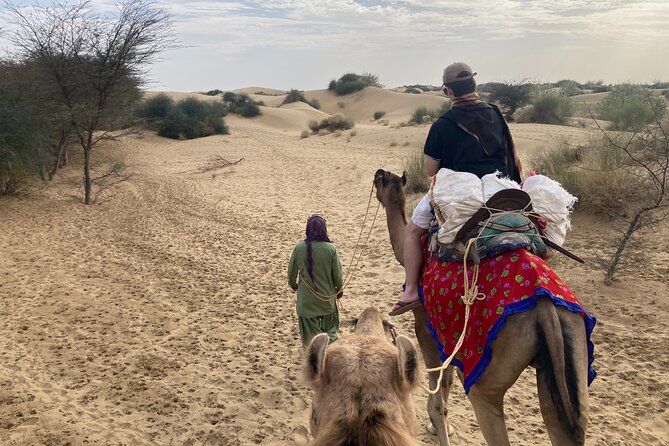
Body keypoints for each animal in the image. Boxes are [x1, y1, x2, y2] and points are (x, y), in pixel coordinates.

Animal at [373, 168, 592, 446]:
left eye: (381, 181)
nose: (377, 173)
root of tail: (546, 308)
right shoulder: (448, 332)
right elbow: (447, 379)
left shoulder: (424, 321)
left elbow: (437, 394)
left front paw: (439, 427)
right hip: (570, 349)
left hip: (488, 379)